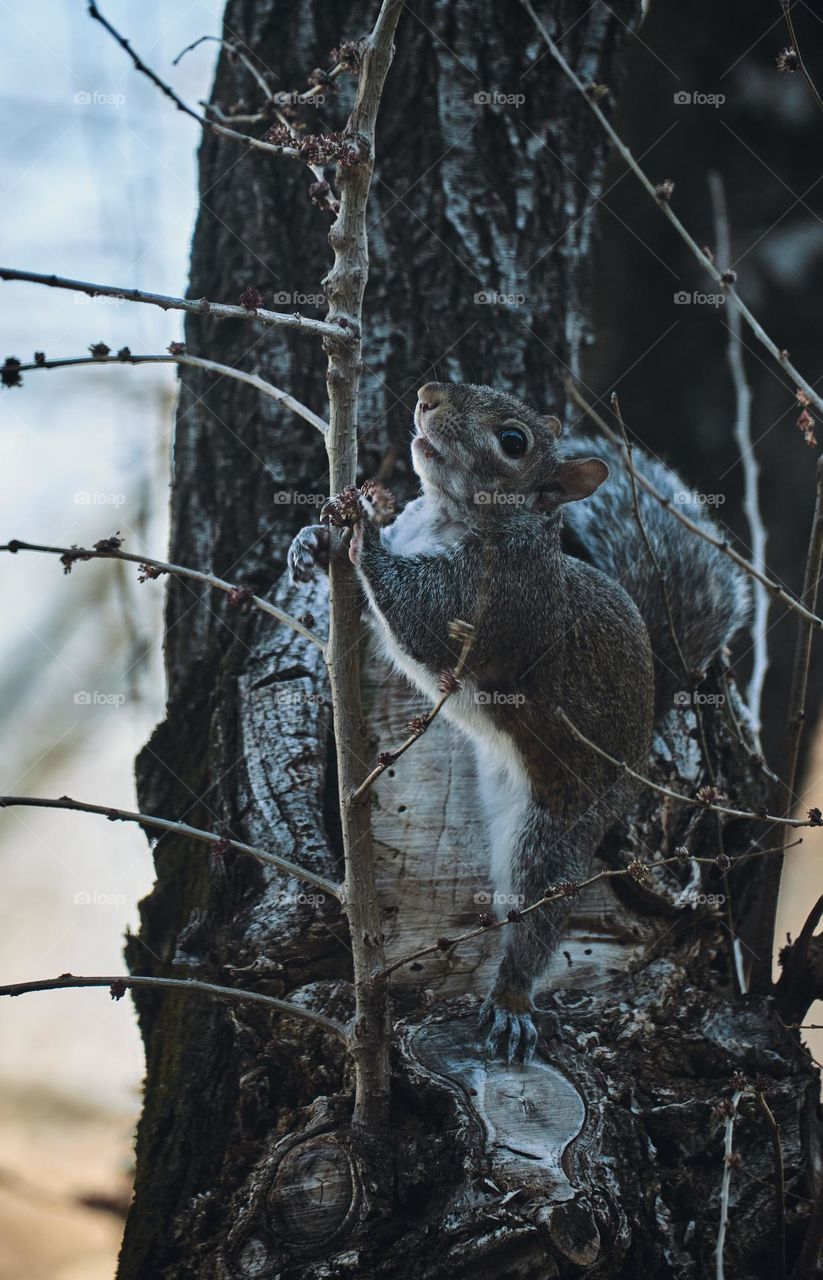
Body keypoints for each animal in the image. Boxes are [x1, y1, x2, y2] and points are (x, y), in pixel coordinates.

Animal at [288, 381, 749, 1062]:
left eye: (512, 441)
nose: (426, 395)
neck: (453, 517)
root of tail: (641, 747)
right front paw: (313, 542)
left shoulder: (491, 605)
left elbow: (412, 615)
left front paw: (362, 528)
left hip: (556, 825)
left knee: (537, 912)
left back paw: (510, 1001)